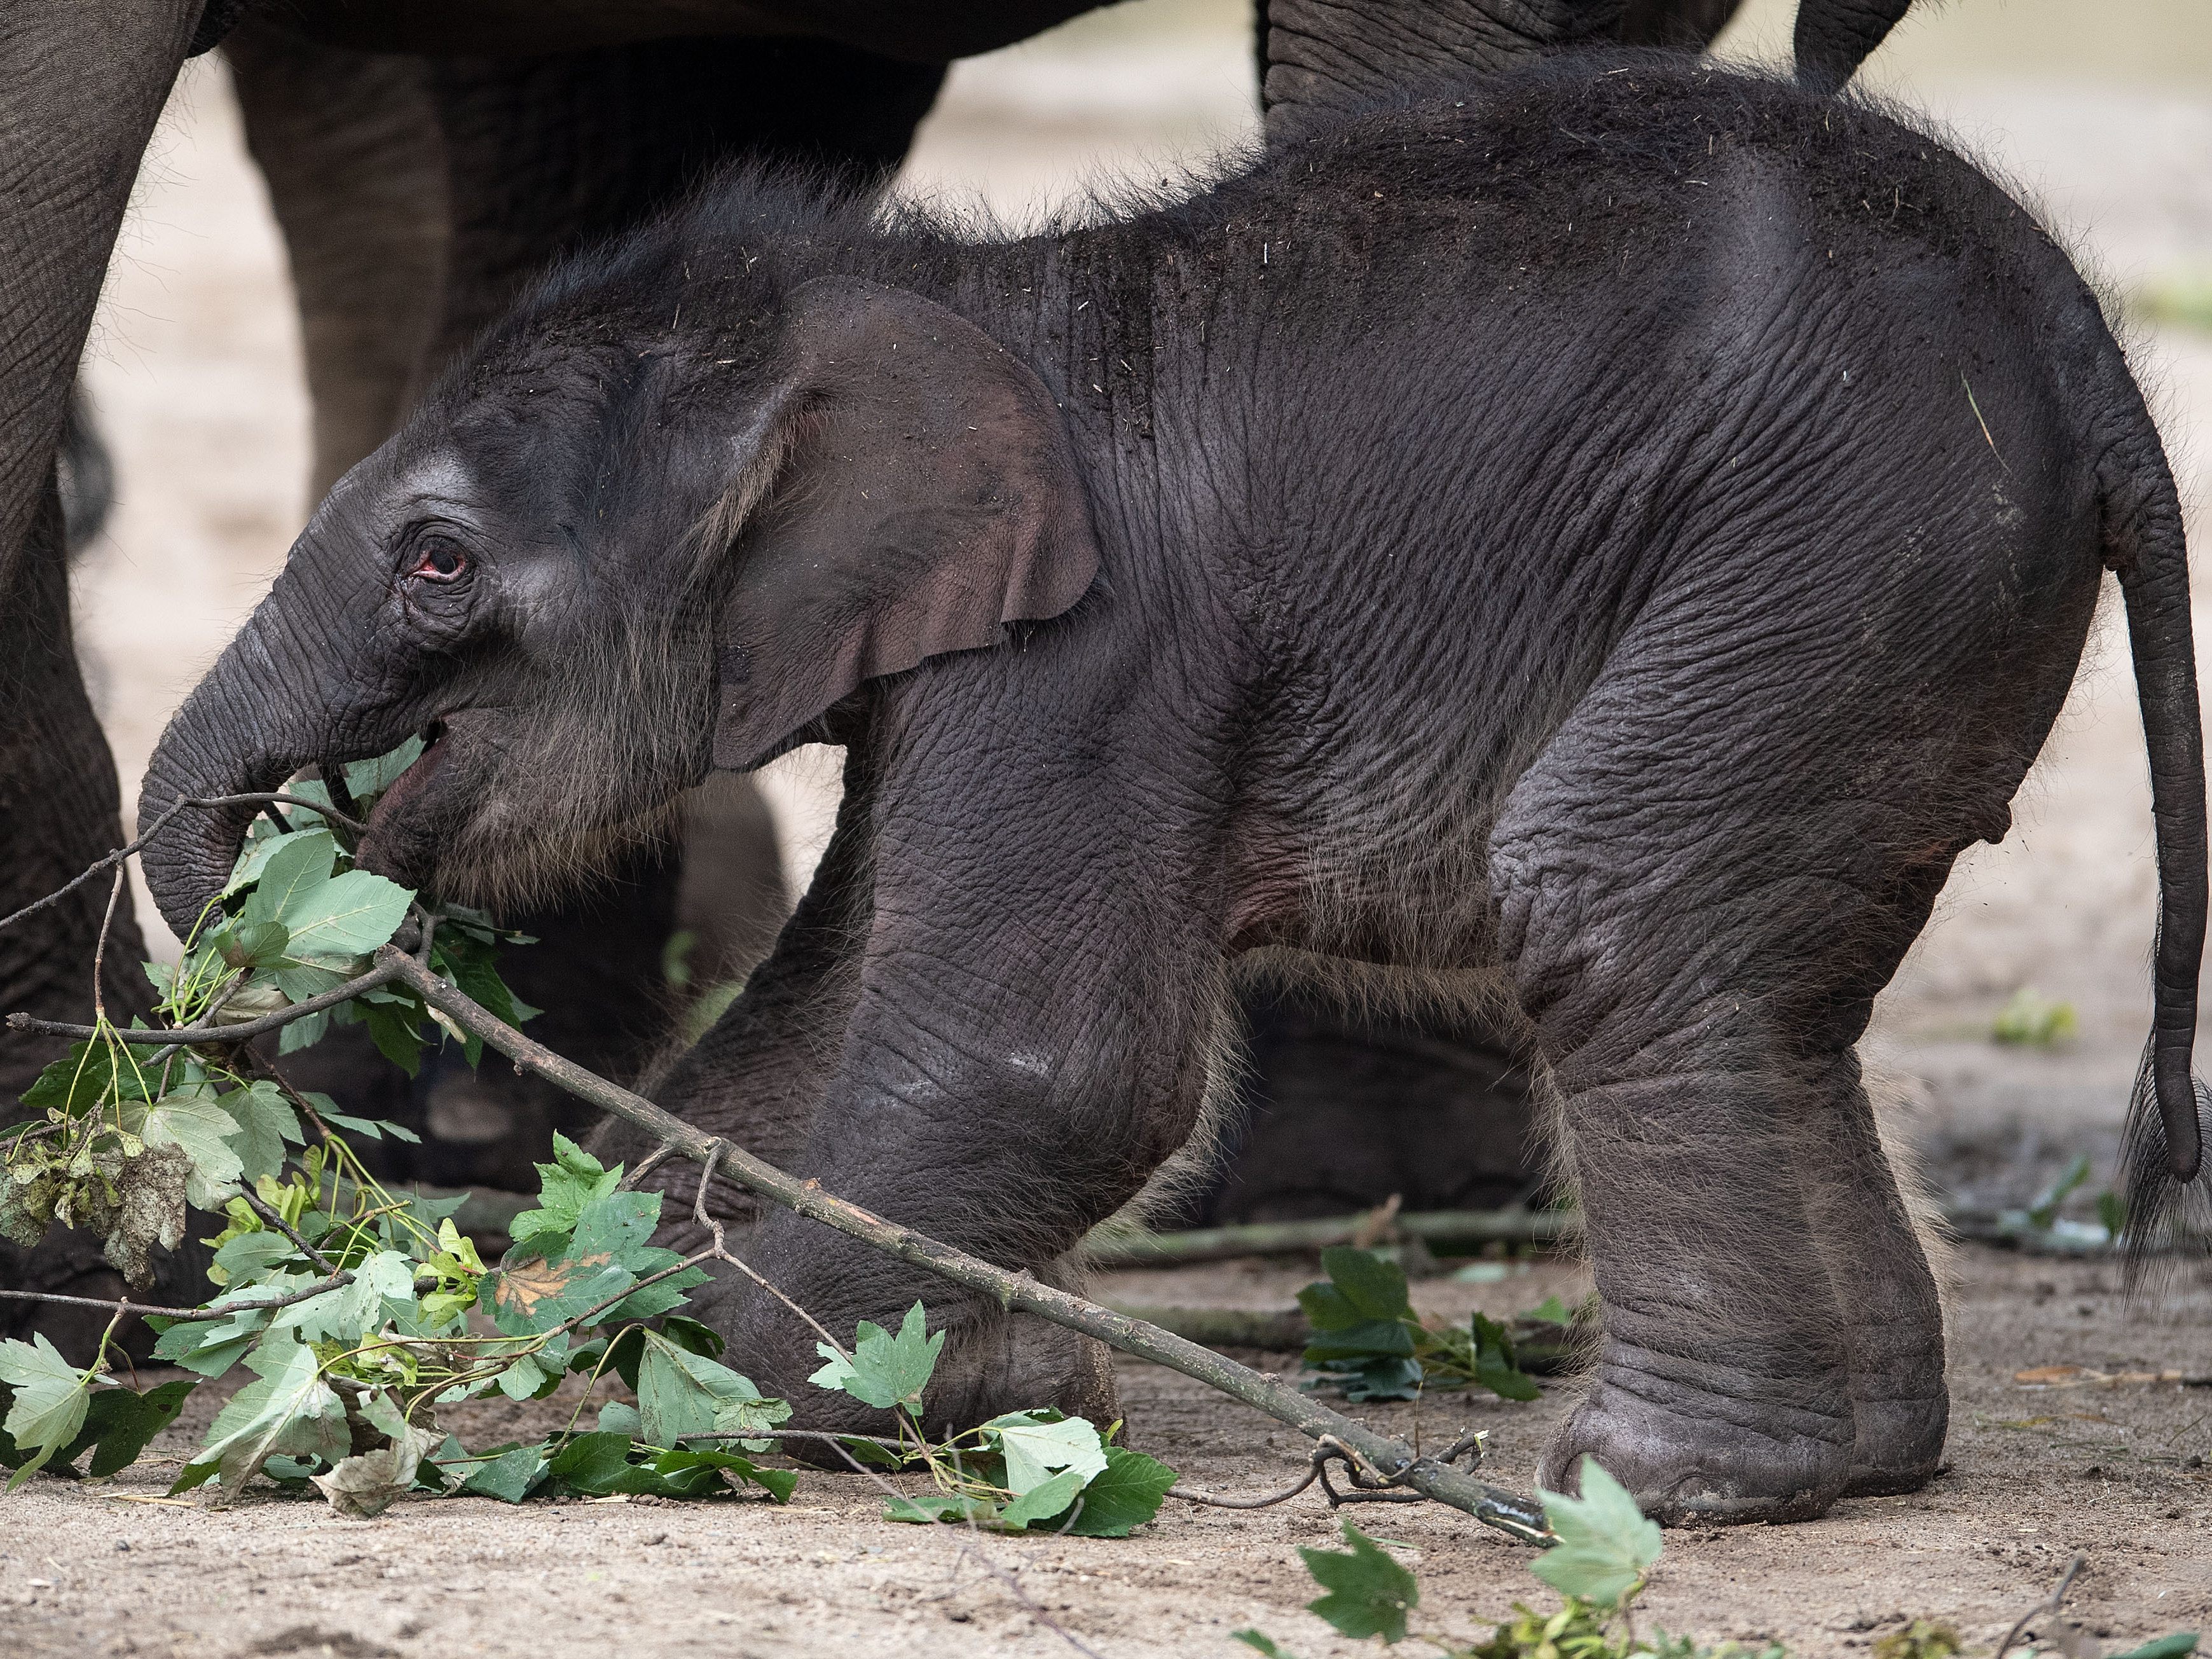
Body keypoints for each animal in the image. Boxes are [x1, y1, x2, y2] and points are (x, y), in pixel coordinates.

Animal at [138, 59, 2194, 1531]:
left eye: (436, 562)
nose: (281, 892)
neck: (939, 296)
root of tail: (2095, 361)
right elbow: (807, 1029)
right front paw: (618, 1299)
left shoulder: (1095, 653)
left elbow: (1041, 1062)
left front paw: (944, 1390)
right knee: (1769, 982)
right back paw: (1854, 1460)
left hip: (1840, 548)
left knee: (1606, 908)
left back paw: (1646, 1484)